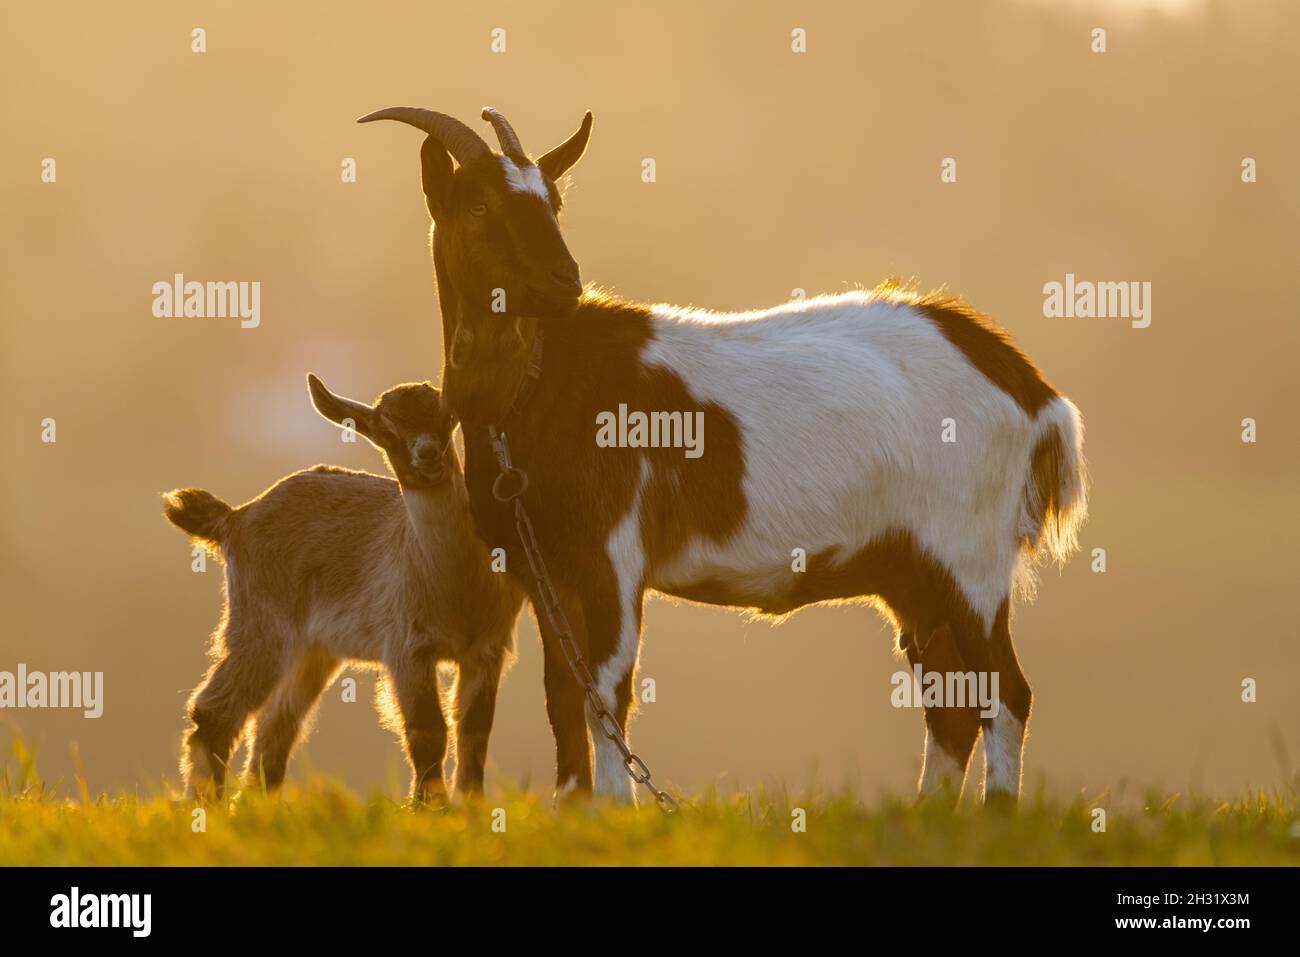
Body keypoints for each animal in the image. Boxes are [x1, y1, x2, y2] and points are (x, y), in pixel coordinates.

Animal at [162, 374, 523, 802]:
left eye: (446, 417)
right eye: (386, 431)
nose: (428, 456)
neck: (456, 589)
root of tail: (235, 517)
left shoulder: (487, 649)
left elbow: (474, 731)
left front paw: (471, 804)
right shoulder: (406, 646)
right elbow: (428, 731)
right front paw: (429, 807)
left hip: (313, 651)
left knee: (275, 726)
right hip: (262, 622)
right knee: (217, 710)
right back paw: (206, 803)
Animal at [361, 106, 1088, 806]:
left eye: (554, 201)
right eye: (480, 207)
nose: (563, 279)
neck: (534, 382)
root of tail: (1026, 386)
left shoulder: (613, 555)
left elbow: (607, 690)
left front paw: (616, 809)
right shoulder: (543, 568)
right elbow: (562, 692)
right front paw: (572, 806)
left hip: (970, 555)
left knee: (1006, 692)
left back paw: (996, 815)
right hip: (913, 574)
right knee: (952, 705)